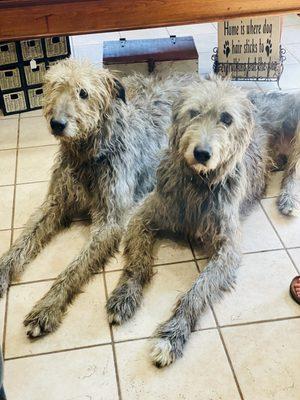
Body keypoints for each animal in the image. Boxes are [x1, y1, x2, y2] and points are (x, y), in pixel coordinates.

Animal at [0, 57, 195, 336]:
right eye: (54, 87)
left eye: (83, 93)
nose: (57, 124)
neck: (88, 156)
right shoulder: (55, 201)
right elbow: (23, 240)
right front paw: (3, 271)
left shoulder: (109, 221)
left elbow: (76, 266)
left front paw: (48, 305)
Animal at [107, 76, 300, 368]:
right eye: (194, 112)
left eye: (227, 118)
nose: (202, 153)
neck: (198, 184)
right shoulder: (145, 215)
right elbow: (137, 262)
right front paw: (125, 295)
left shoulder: (228, 247)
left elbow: (199, 289)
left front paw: (172, 335)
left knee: (295, 168)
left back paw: (289, 198)